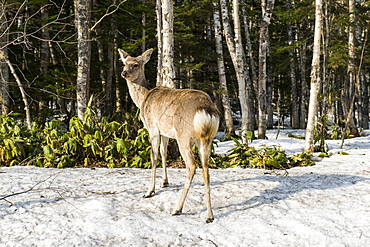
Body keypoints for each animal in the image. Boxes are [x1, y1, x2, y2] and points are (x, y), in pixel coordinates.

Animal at [118, 47, 220, 222]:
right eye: (124, 63)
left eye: (136, 64)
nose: (124, 73)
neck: (143, 99)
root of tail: (206, 110)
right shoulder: (164, 131)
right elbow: (163, 153)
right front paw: (164, 182)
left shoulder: (152, 127)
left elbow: (153, 156)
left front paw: (149, 191)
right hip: (206, 138)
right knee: (206, 168)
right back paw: (209, 216)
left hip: (183, 135)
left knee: (192, 166)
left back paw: (177, 209)